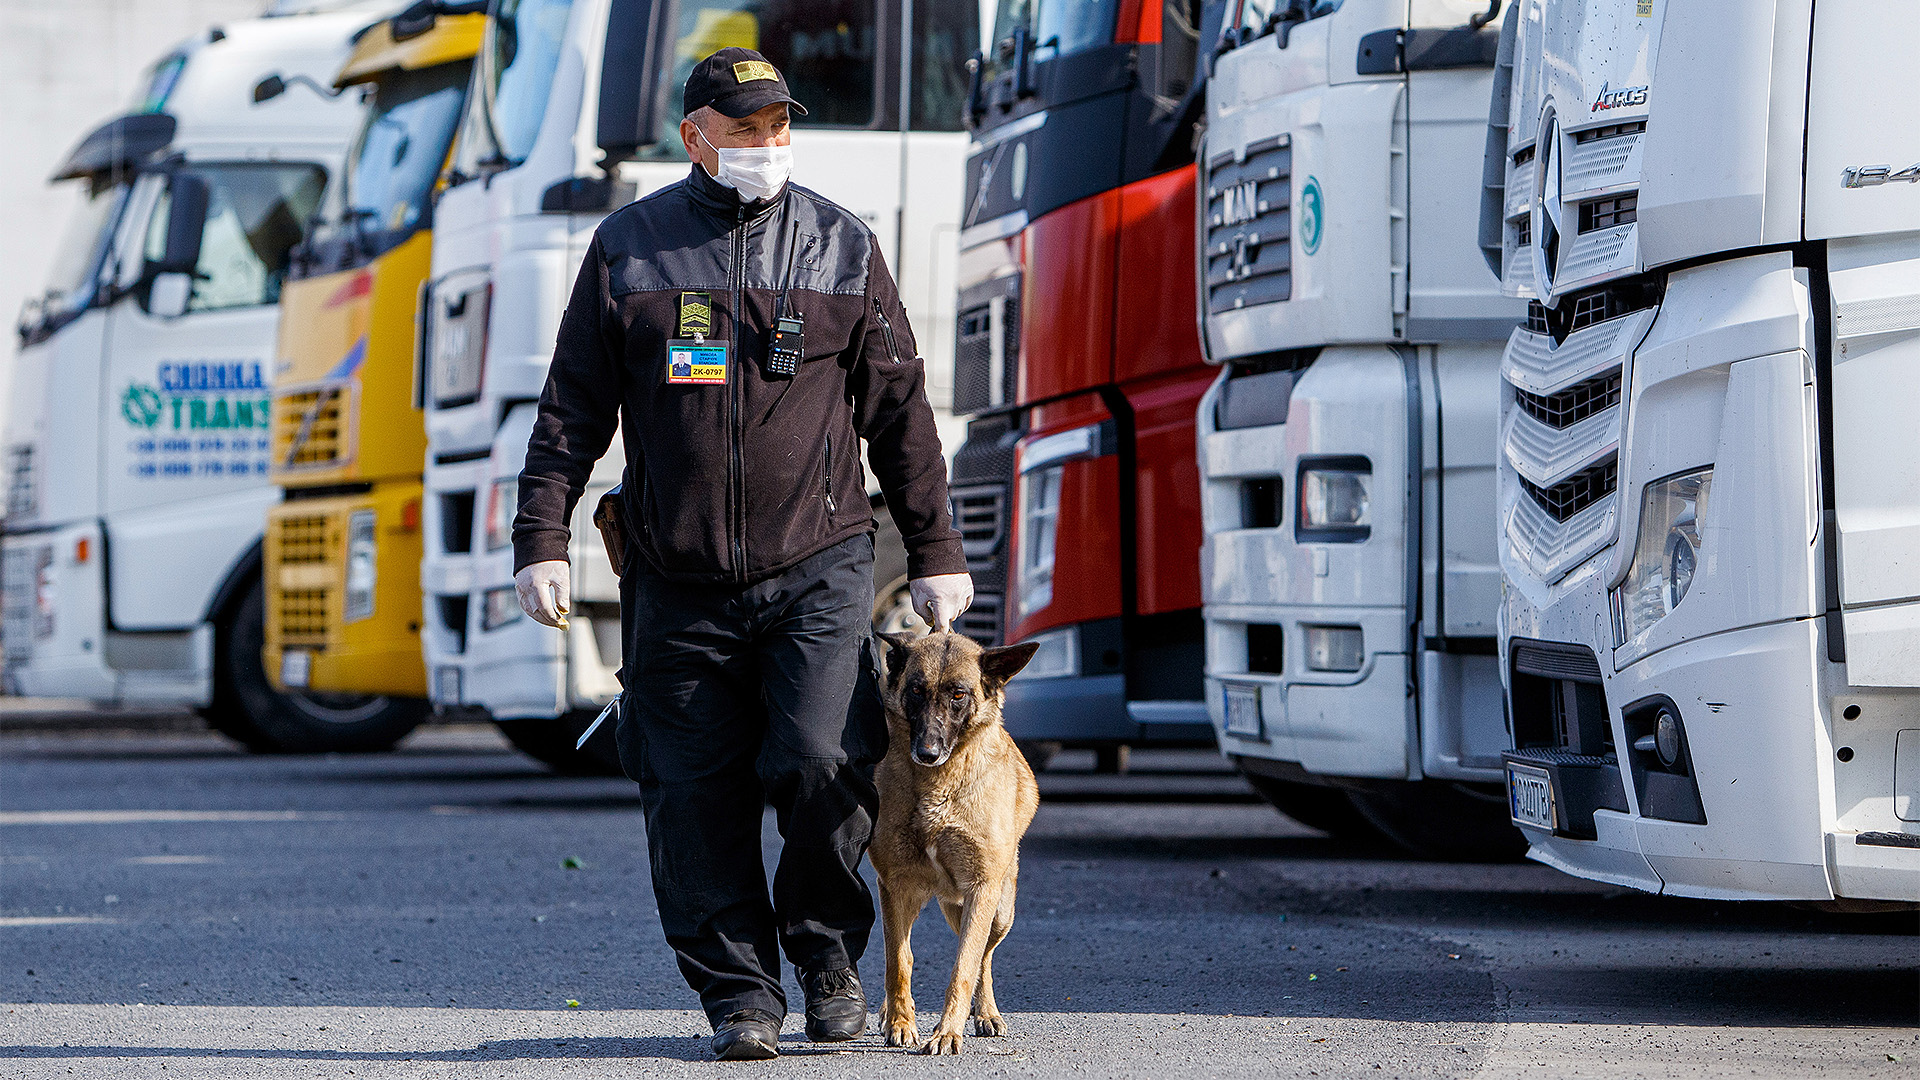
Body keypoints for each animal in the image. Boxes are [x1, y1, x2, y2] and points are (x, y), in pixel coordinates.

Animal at [875, 626, 1044, 1053]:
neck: (939, 786)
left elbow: (964, 966)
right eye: (916, 691)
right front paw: (900, 1021)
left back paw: (985, 1013)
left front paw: (947, 1031)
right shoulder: (894, 887)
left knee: (985, 956)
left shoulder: (981, 890)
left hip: (997, 910)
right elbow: (898, 960)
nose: (927, 752)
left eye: (958, 695)